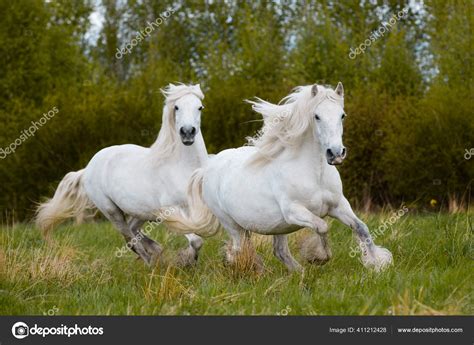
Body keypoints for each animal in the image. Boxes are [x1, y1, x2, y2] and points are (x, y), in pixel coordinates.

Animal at [34, 82, 209, 264]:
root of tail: (89, 167)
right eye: (176, 107)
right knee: (130, 240)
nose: (187, 132)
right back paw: (151, 261)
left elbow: (198, 239)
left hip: (140, 212)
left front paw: (190, 261)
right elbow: (196, 239)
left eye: (200, 107)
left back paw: (156, 251)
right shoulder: (171, 211)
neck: (183, 168)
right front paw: (187, 260)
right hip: (112, 211)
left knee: (133, 231)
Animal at [168, 82, 394, 270]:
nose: (336, 153)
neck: (315, 174)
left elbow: (361, 227)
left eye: (342, 115)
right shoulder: (293, 211)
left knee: (279, 251)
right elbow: (322, 227)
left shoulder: (338, 205)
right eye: (317, 116)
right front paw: (319, 256)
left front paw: (378, 263)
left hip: (276, 226)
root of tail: (208, 168)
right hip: (232, 224)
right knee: (241, 250)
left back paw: (298, 273)